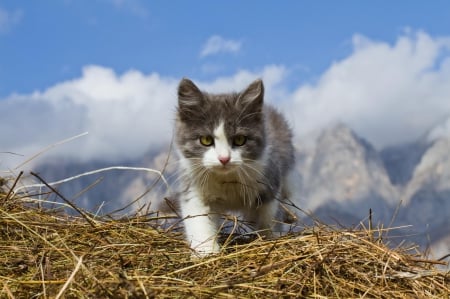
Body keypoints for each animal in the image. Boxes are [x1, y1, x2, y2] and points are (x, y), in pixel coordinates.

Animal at [175, 78, 296, 256]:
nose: (224, 158)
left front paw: (270, 239)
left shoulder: (270, 180)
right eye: (205, 140)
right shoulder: (193, 189)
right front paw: (206, 251)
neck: (227, 180)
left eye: (240, 140)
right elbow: (198, 221)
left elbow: (269, 217)